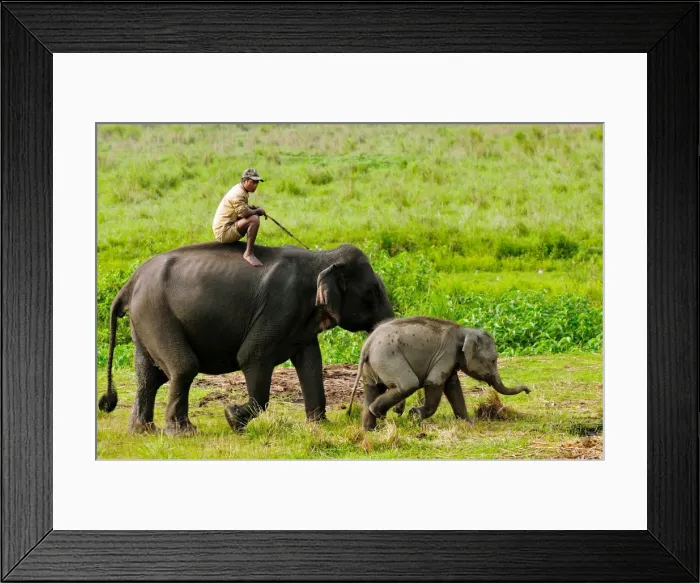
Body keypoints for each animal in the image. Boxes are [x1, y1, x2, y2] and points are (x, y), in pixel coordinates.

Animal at [98, 241, 395, 436]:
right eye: (373, 293)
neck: (322, 259)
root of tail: (130, 283)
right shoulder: (280, 306)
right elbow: (252, 356)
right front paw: (232, 418)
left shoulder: (300, 321)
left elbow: (311, 362)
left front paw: (320, 427)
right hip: (156, 314)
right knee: (182, 368)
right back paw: (184, 433)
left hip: (144, 321)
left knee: (149, 377)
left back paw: (143, 432)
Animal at [346, 316, 530, 430]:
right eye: (493, 361)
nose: (528, 390)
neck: (463, 330)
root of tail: (367, 344)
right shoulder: (446, 354)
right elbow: (434, 383)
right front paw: (414, 415)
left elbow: (453, 386)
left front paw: (469, 423)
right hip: (388, 357)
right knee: (408, 384)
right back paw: (379, 413)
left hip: (372, 366)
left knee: (372, 390)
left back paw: (370, 429)